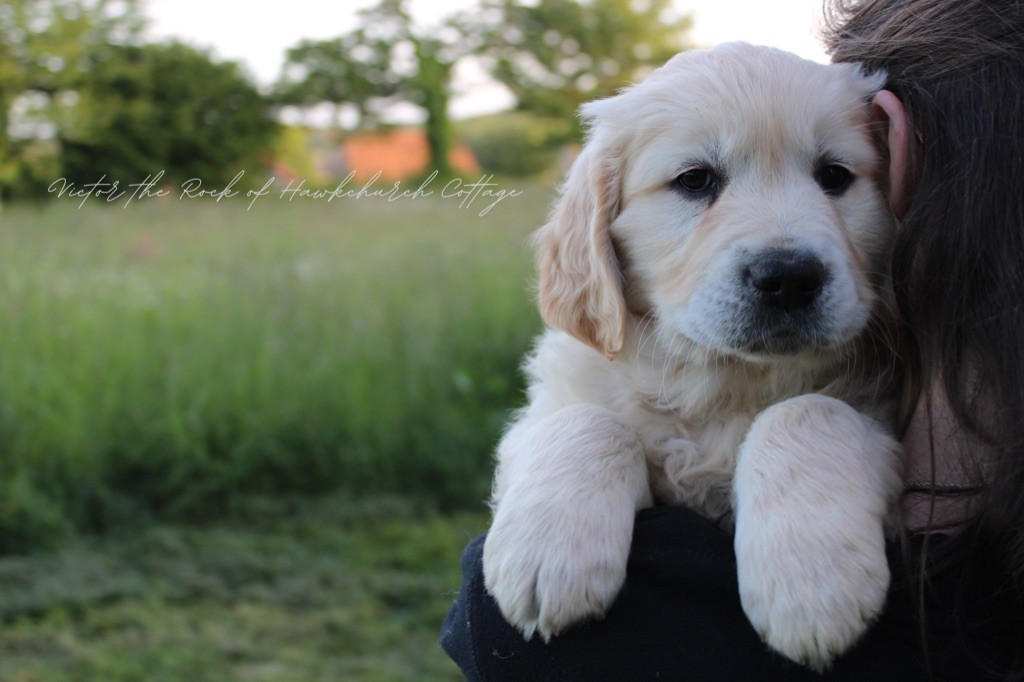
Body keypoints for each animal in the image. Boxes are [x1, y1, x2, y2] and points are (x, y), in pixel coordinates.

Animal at [483, 43, 901, 667]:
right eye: (695, 180)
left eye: (834, 175)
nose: (790, 278)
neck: (722, 382)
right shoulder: (548, 407)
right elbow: (588, 422)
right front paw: (547, 555)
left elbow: (805, 411)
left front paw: (811, 586)